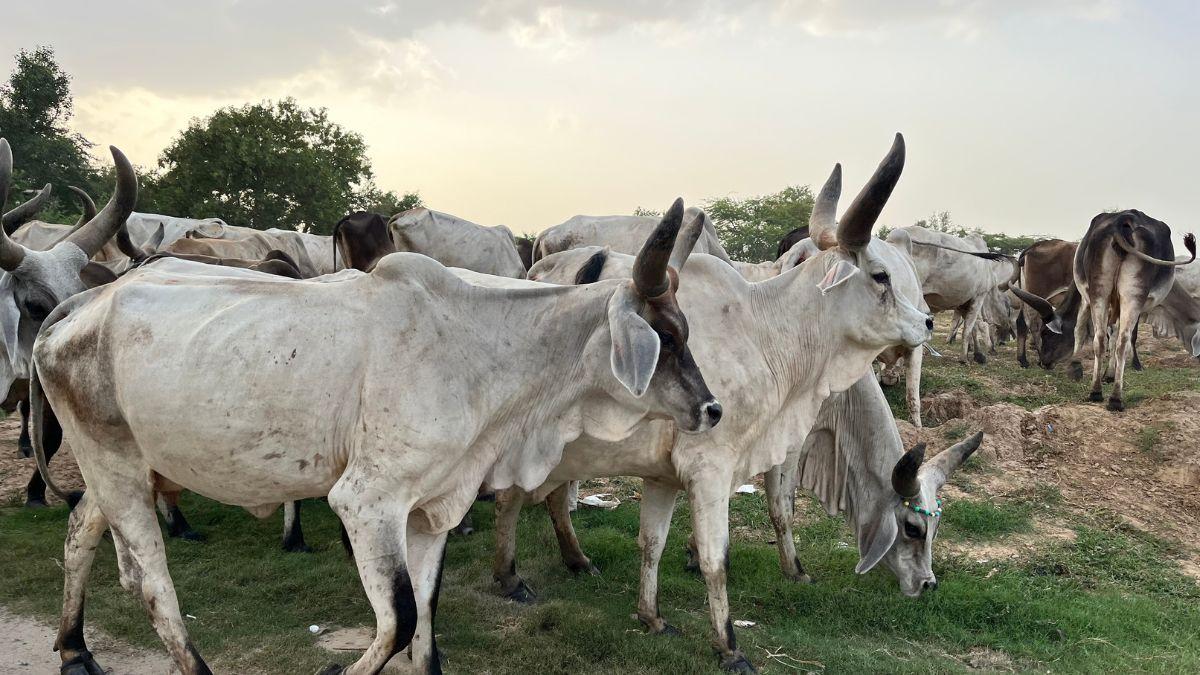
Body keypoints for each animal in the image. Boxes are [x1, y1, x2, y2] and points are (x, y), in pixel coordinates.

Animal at [506, 134, 933, 671]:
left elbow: (652, 543)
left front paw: (652, 617)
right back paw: (527, 572)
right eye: (880, 276)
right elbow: (726, 550)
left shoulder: (666, 474)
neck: (766, 334)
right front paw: (730, 643)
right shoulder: (716, 467)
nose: (928, 322)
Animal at [1010, 211, 1195, 410]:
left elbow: (1104, 334)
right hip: (1129, 294)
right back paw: (1114, 397)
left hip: (1099, 291)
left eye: (1048, 334)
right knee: (1121, 339)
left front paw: (1101, 371)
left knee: (1100, 338)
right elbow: (1096, 332)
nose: (1044, 362)